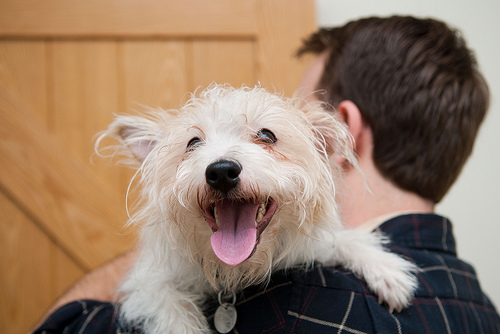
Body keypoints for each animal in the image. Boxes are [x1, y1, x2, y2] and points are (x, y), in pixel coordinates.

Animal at [98, 85, 418, 334]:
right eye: (192, 143)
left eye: (266, 135)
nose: (221, 171)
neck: (233, 270)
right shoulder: (148, 282)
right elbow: (172, 308)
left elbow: (337, 239)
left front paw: (384, 267)